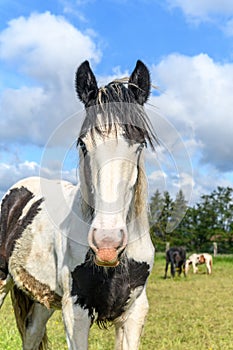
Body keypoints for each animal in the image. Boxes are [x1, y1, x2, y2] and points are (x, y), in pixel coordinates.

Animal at [0, 60, 157, 350]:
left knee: (32, 334)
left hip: (42, 301)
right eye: (83, 143)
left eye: (140, 143)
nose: (107, 244)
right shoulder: (76, 313)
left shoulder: (134, 313)